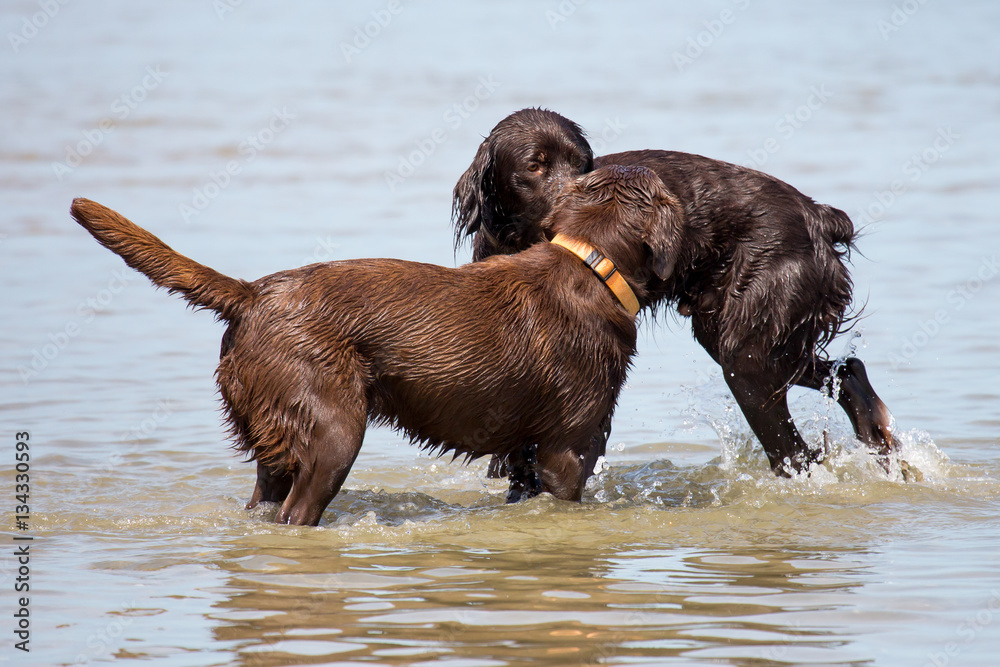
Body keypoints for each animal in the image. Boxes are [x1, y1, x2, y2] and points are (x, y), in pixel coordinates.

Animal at [68, 166, 680, 528]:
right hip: (333, 430)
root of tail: (251, 293)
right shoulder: (567, 449)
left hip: (273, 439)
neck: (590, 265)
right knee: (297, 510)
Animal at [456, 108, 900, 480]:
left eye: (582, 163)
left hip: (747, 357)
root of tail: (818, 216)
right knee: (847, 371)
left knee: (795, 452)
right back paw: (881, 446)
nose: (576, 200)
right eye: (535, 165)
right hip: (748, 342)